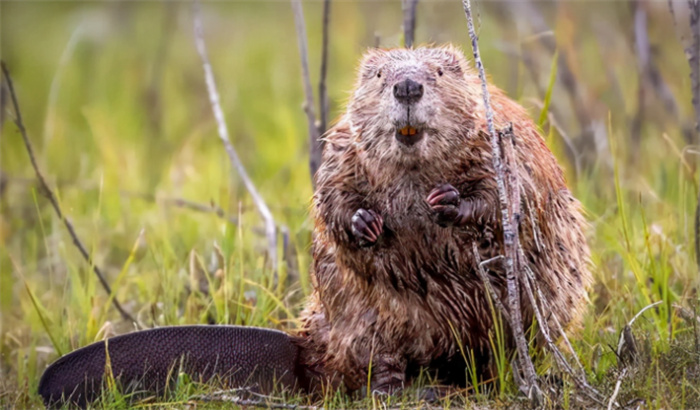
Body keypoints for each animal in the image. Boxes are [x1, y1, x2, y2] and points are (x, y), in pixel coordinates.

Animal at [38, 45, 592, 406]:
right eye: (377, 75)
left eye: (437, 71)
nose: (407, 85)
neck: (414, 167)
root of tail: (302, 353)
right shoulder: (343, 146)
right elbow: (331, 198)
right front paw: (366, 222)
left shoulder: (500, 138)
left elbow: (507, 195)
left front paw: (447, 201)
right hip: (365, 321)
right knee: (377, 363)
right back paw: (400, 389)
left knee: (495, 358)